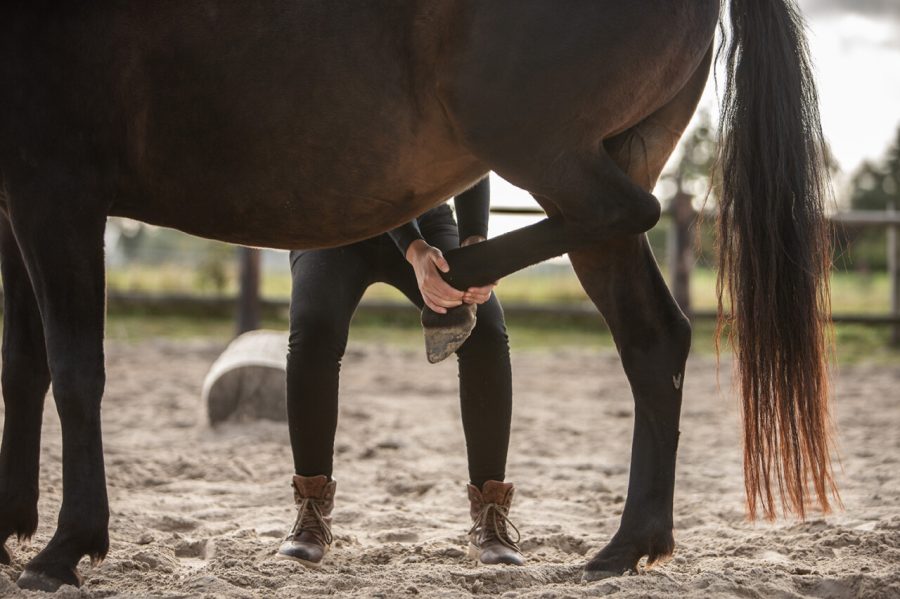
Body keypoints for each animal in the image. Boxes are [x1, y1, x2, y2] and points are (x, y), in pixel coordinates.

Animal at [0, 0, 836, 592]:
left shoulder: (57, 187)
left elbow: (74, 372)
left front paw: (65, 546)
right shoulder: (21, 199)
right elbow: (24, 368)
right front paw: (15, 524)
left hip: (543, 149)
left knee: (627, 214)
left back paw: (457, 280)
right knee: (653, 336)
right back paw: (628, 545)